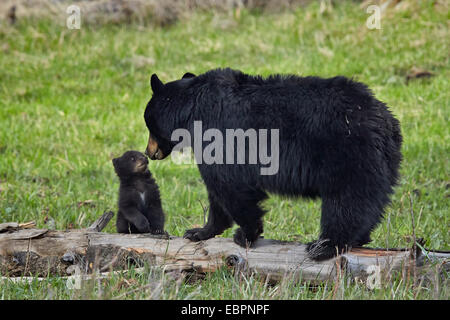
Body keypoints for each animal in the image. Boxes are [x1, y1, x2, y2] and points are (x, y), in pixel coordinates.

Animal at [143, 69, 400, 262]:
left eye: (149, 125)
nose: (148, 153)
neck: (192, 108)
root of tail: (385, 121)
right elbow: (219, 193)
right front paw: (199, 231)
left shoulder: (219, 136)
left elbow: (230, 186)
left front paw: (245, 234)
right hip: (383, 163)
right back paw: (358, 238)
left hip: (348, 155)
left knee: (346, 202)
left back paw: (323, 246)